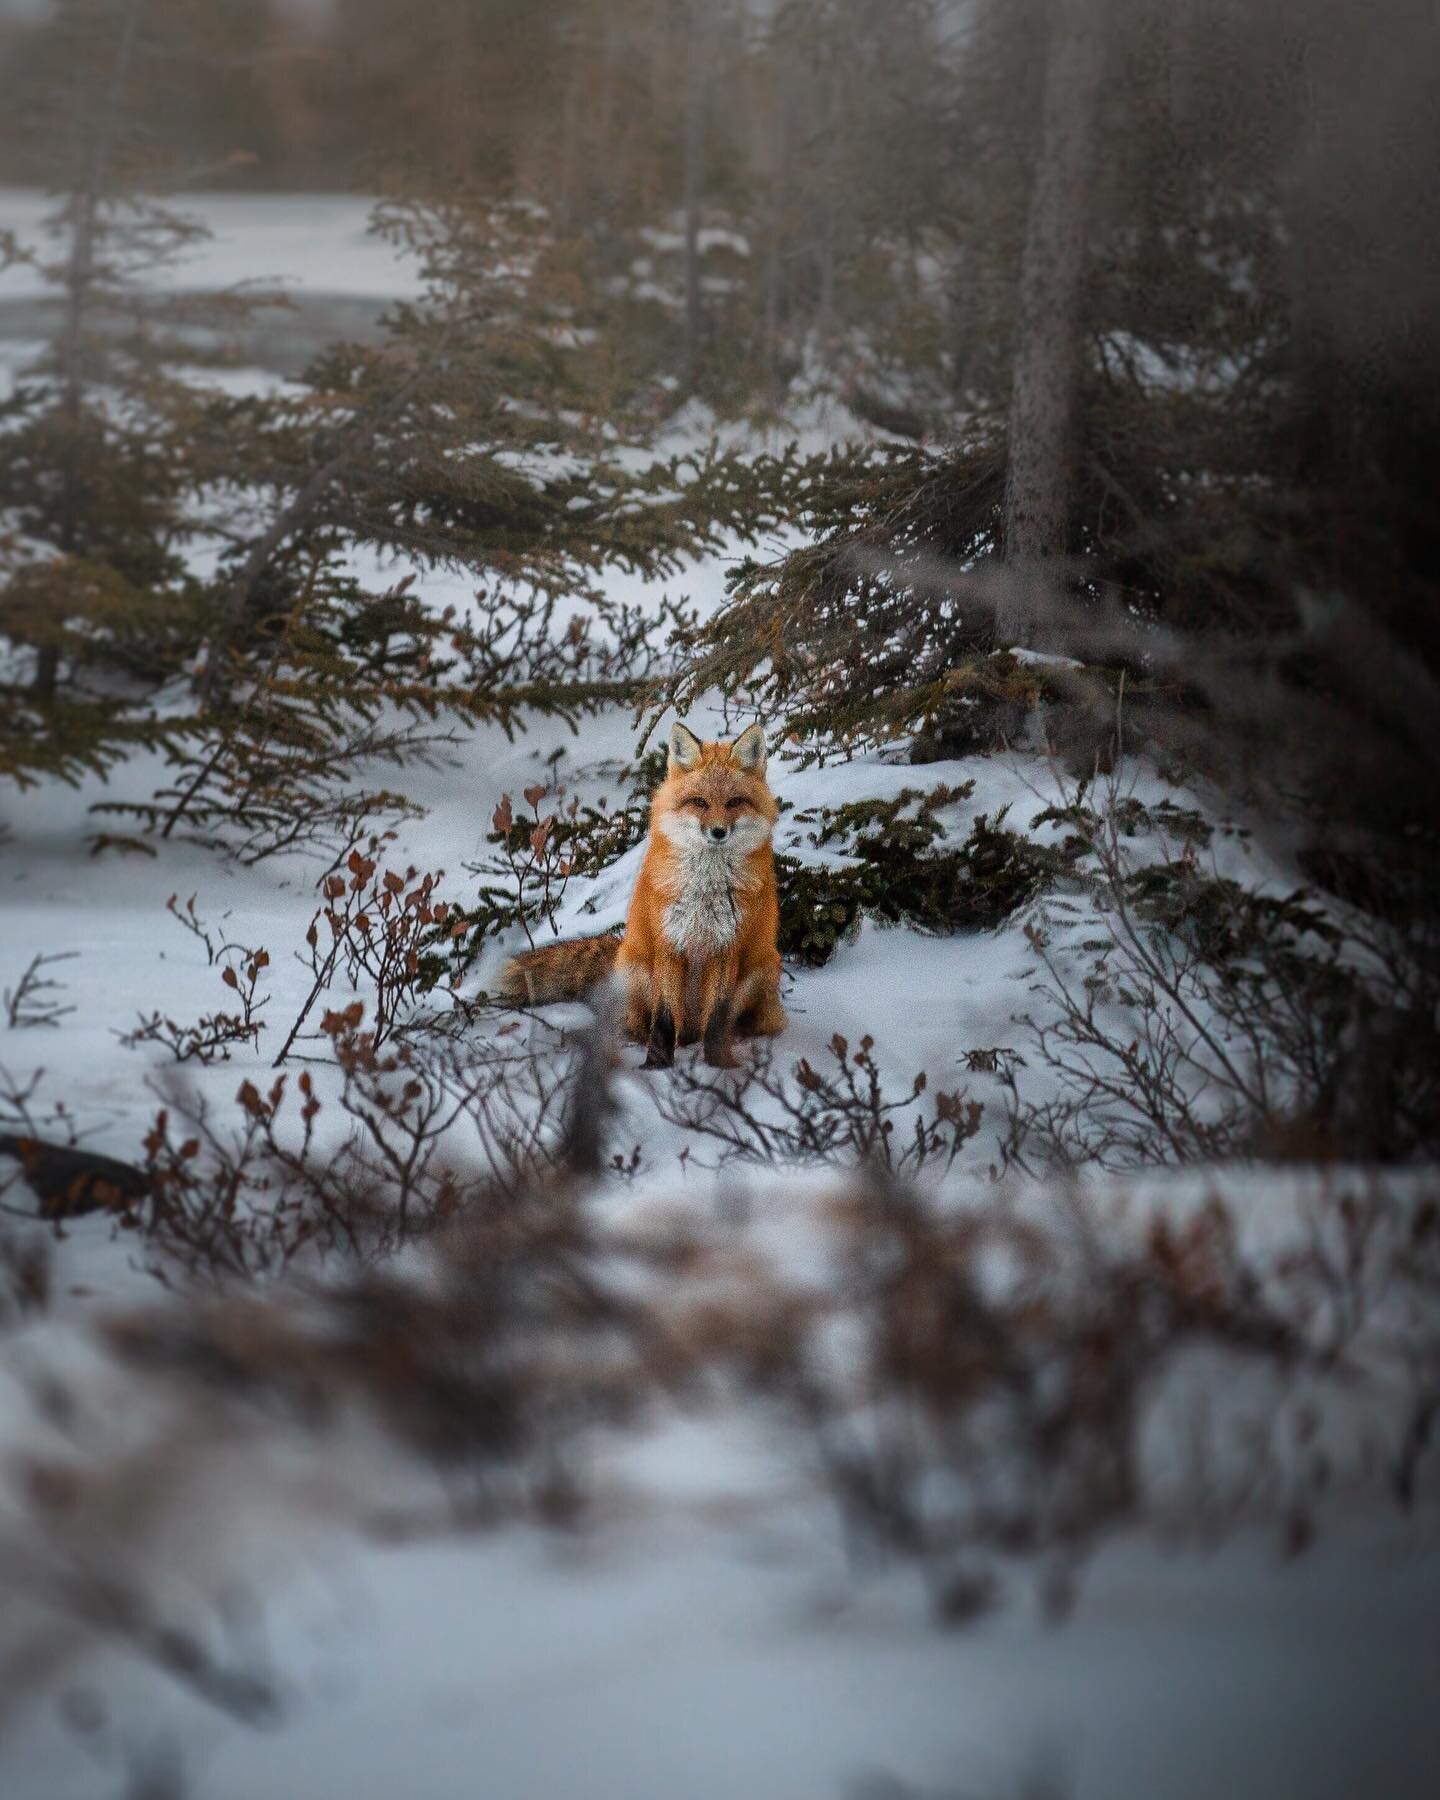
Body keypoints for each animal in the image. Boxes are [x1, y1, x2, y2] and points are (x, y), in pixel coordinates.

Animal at [496, 720, 788, 1058]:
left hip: (763, 968)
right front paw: (660, 1061)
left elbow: (715, 1021)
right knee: (639, 1024)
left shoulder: (726, 949)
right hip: (638, 970)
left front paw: (712, 1061)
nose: (718, 832)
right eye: (700, 802)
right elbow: (664, 1019)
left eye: (734, 802)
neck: (706, 890)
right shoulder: (669, 944)